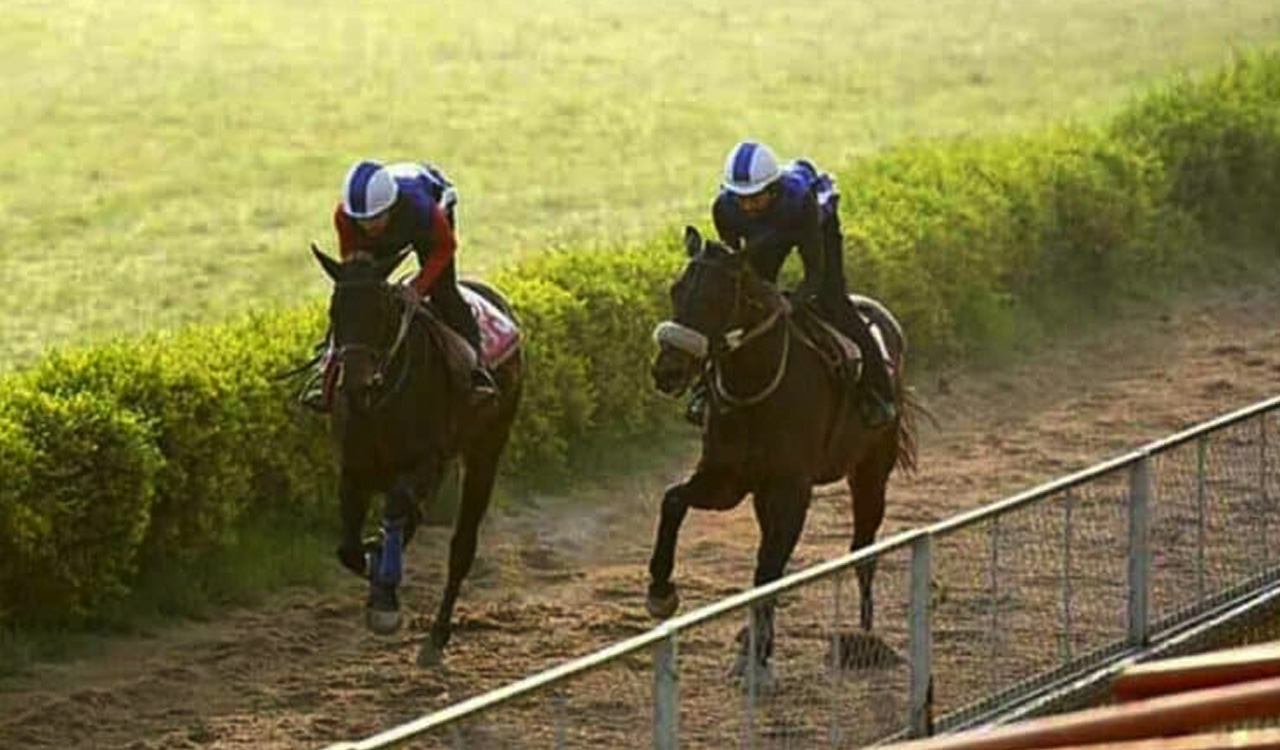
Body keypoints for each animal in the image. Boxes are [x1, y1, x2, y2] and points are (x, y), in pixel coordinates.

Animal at [311, 245, 523, 666]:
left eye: (379, 311)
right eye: (334, 310)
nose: (355, 383)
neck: (378, 404)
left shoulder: (424, 461)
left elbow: (394, 511)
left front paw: (384, 600)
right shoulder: (353, 468)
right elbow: (348, 549)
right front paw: (376, 570)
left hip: (486, 447)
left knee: (461, 546)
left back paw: (437, 635)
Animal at [646, 226, 916, 679]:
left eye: (717, 297)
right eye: (675, 289)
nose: (668, 370)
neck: (755, 383)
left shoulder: (793, 488)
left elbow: (768, 569)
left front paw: (756, 653)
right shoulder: (727, 478)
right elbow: (673, 500)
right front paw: (661, 590)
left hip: (871, 471)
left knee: (863, 548)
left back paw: (863, 636)